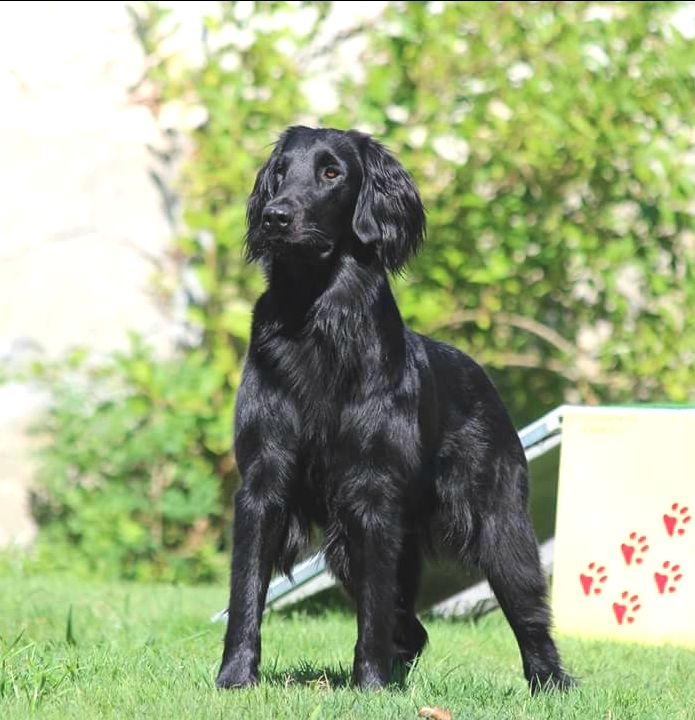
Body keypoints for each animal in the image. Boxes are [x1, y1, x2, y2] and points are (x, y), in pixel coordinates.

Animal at [216, 128, 572, 692]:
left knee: (527, 611)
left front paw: (370, 685)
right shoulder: (263, 482)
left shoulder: (371, 490)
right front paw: (234, 678)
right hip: (353, 546)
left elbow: (374, 606)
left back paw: (551, 682)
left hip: (500, 526)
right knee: (409, 623)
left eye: (332, 173)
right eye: (280, 171)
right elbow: (246, 590)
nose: (275, 216)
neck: (319, 321)